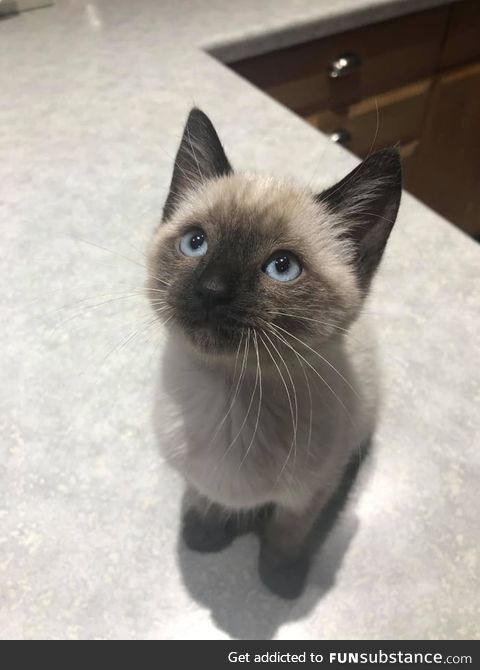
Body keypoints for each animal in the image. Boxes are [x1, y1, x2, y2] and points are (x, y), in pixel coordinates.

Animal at [148, 107, 404, 600]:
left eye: (282, 268)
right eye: (195, 243)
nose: (212, 290)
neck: (231, 400)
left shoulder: (308, 494)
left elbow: (287, 534)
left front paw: (279, 582)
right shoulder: (195, 475)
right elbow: (205, 499)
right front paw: (205, 536)